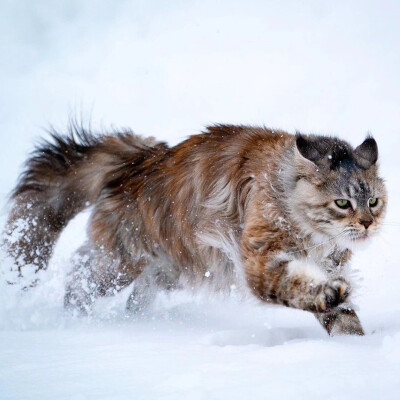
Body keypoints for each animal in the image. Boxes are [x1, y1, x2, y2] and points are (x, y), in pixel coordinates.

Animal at [3, 122, 386, 334]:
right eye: (342, 203)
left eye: (373, 201)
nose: (366, 223)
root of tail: (136, 162)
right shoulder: (260, 262)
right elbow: (296, 288)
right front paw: (328, 295)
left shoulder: (327, 263)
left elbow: (342, 318)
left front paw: (354, 346)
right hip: (119, 264)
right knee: (78, 275)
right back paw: (75, 319)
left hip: (166, 269)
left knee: (128, 292)